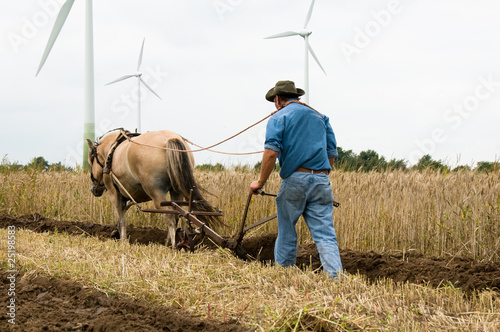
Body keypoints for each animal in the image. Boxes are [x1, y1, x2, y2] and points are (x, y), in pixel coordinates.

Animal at [86, 128, 221, 248]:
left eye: (91, 160)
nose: (94, 188)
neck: (111, 152)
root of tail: (168, 139)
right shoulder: (130, 195)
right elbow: (123, 212)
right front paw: (115, 232)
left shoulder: (114, 193)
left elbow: (121, 217)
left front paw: (122, 240)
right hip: (176, 191)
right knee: (176, 214)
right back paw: (170, 242)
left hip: (156, 192)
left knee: (169, 216)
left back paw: (173, 245)